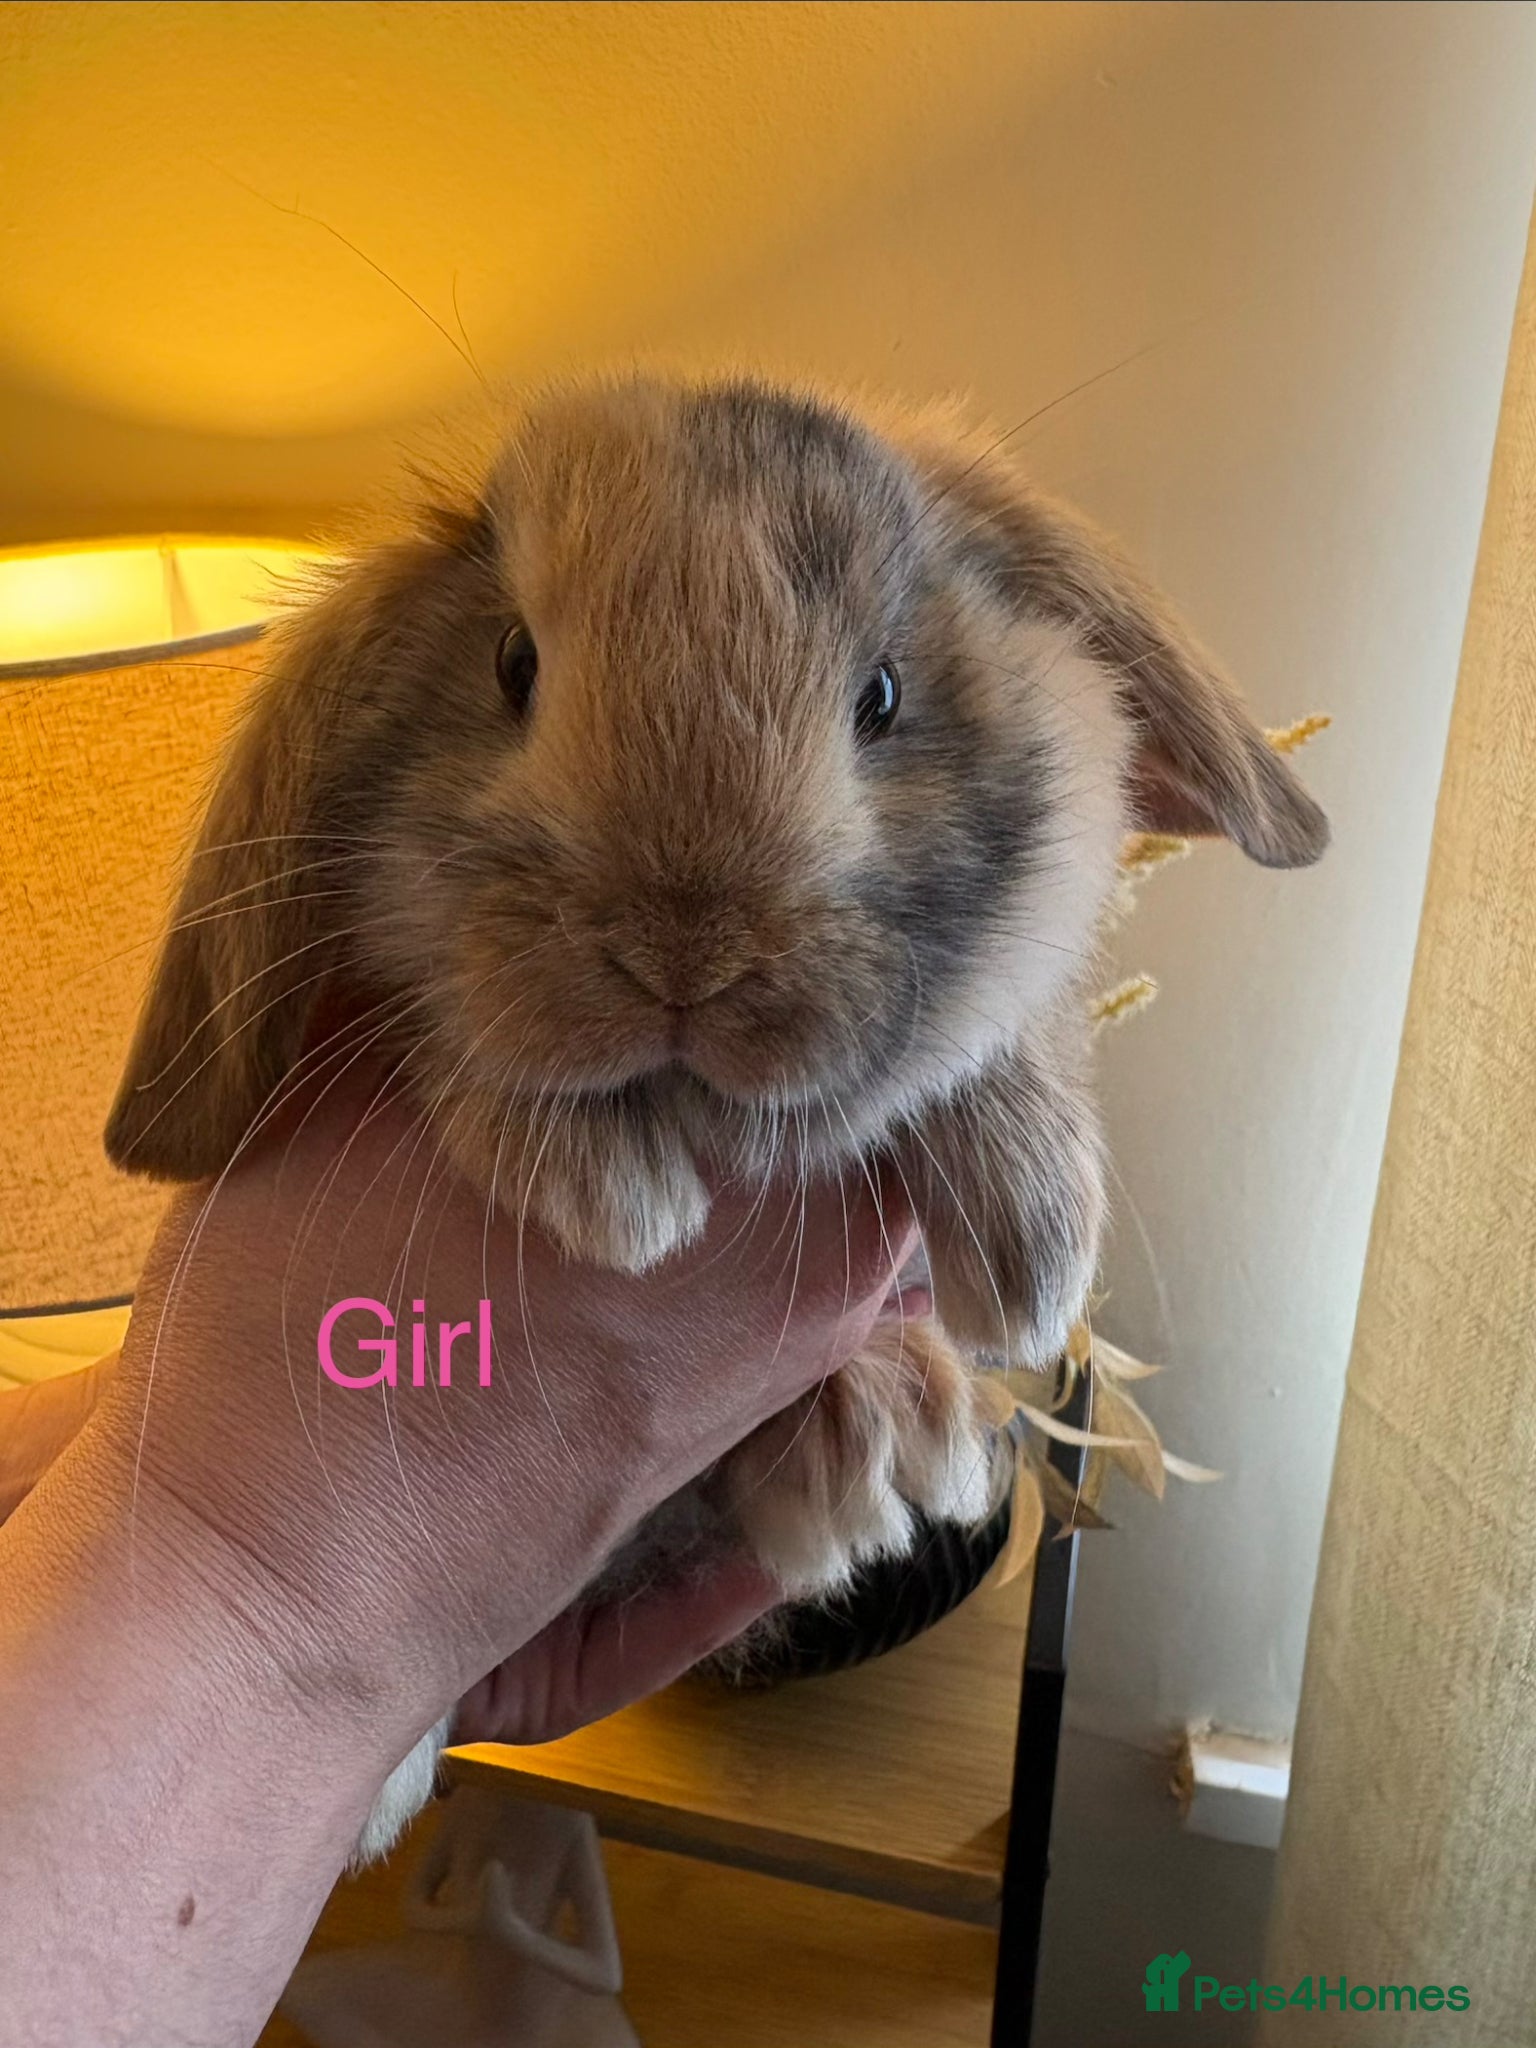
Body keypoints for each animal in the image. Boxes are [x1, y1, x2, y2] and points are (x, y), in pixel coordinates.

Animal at [105, 374, 1327, 1860]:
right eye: (514, 662)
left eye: (881, 695)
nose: (684, 953)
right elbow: (442, 1028)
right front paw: (612, 1191)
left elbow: (993, 1035)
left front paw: (1031, 1254)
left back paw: (878, 1424)